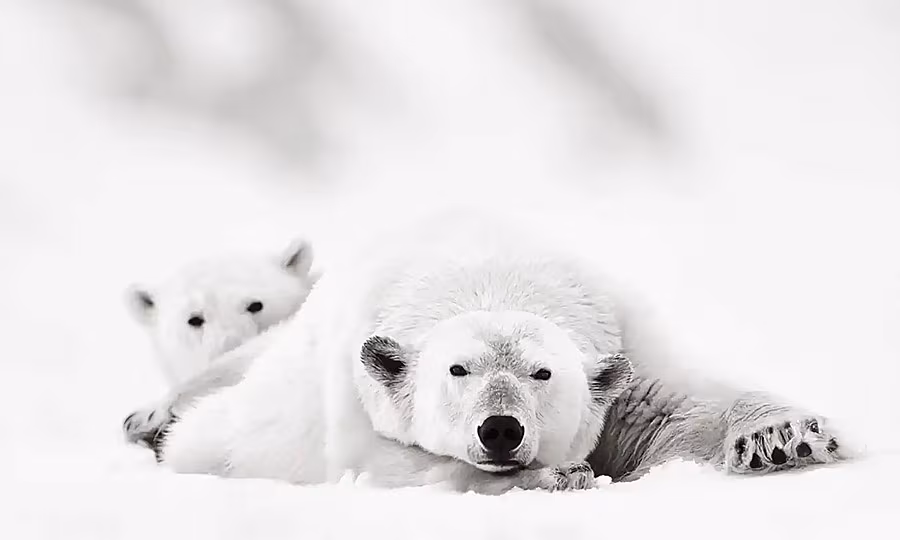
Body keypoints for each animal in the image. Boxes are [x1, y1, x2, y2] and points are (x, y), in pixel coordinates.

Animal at [150, 213, 848, 493]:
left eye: (543, 373)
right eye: (457, 369)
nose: (501, 429)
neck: (490, 270)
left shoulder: (618, 327)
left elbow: (670, 407)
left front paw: (780, 438)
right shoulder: (356, 392)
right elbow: (396, 463)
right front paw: (558, 475)